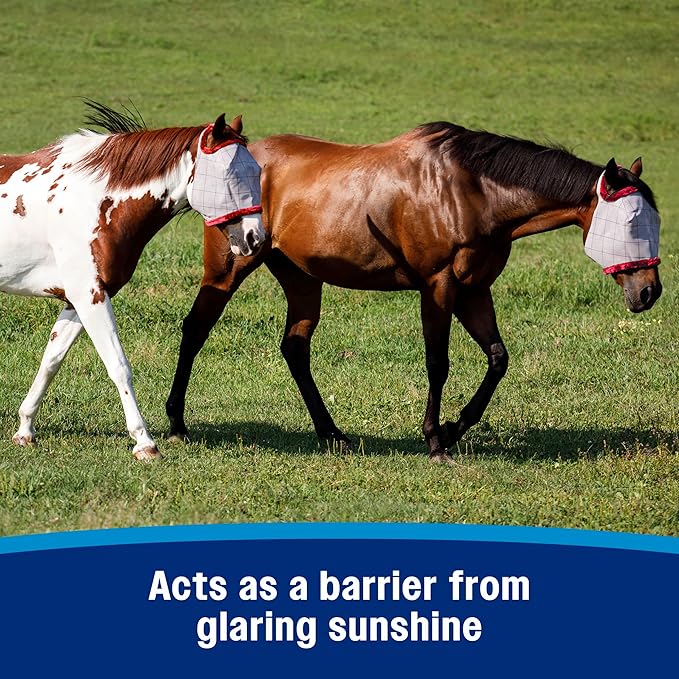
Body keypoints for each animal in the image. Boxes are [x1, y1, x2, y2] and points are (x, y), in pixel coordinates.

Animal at [0, 103, 267, 460]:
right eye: (230, 175)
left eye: (257, 172)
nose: (255, 238)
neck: (95, 200)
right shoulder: (90, 297)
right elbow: (118, 365)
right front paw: (144, 442)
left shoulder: (77, 300)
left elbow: (51, 361)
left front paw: (25, 430)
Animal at [163, 122, 662, 462]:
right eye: (632, 222)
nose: (650, 292)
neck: (471, 192)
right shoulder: (438, 287)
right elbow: (438, 363)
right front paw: (435, 439)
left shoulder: (475, 291)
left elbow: (498, 359)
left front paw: (455, 427)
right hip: (229, 267)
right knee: (195, 330)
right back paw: (177, 422)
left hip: (302, 279)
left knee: (295, 349)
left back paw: (332, 433)